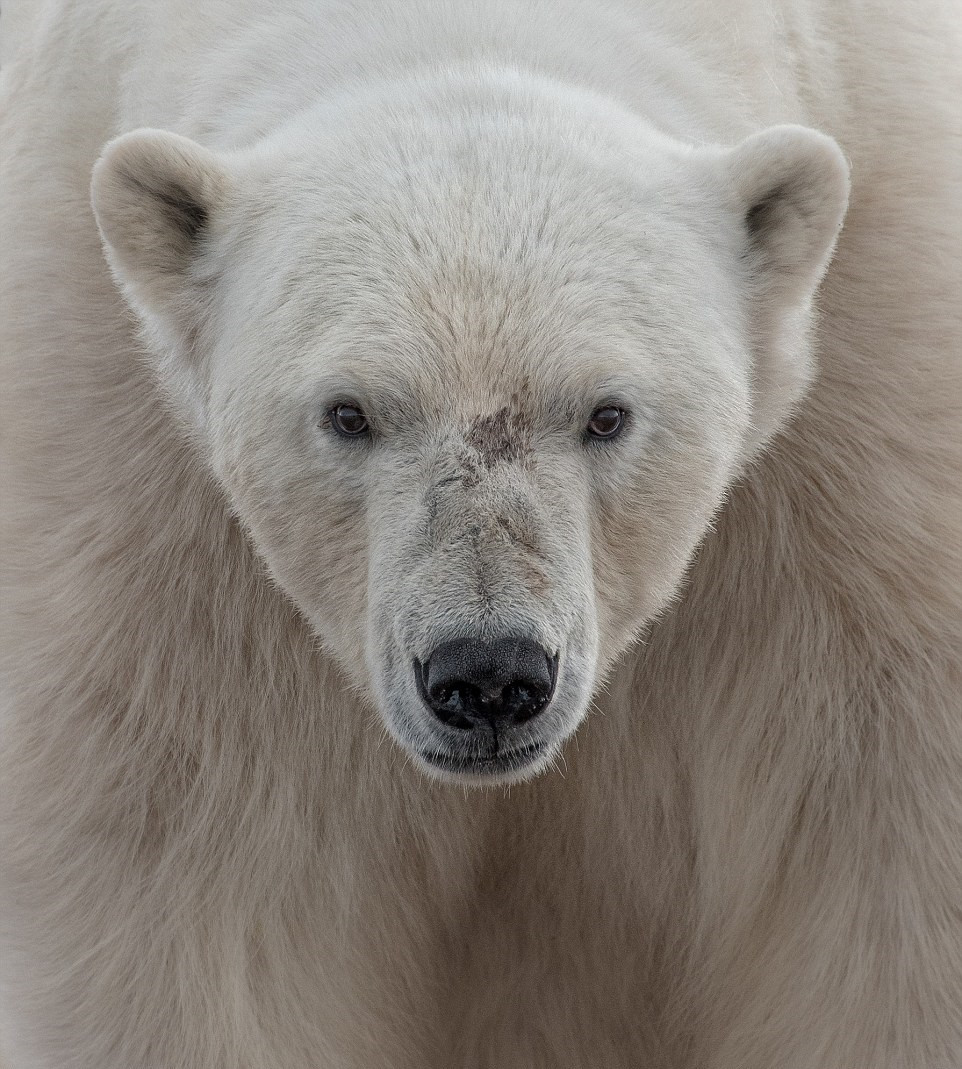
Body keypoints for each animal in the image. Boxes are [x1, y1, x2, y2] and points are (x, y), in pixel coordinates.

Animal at [1, 0, 962, 1064]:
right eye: (349, 413)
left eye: (607, 413)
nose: (490, 673)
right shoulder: (128, 485)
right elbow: (180, 867)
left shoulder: (873, 443)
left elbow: (874, 857)